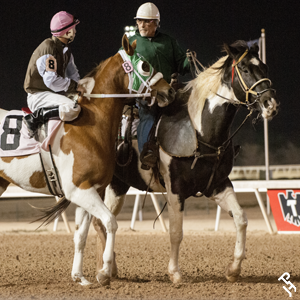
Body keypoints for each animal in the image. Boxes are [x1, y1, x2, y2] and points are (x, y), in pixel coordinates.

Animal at [0, 34, 176, 284]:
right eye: (144, 65)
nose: (169, 92)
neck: (91, 125)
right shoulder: (80, 190)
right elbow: (110, 222)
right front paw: (104, 272)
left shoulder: (91, 189)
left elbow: (81, 235)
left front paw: (79, 277)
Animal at [71, 39, 278, 284]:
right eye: (245, 69)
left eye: (264, 67)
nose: (270, 103)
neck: (200, 133)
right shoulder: (175, 190)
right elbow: (176, 232)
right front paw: (175, 273)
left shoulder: (218, 185)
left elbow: (241, 218)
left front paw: (234, 269)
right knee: (99, 221)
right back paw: (103, 270)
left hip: (118, 185)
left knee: (101, 220)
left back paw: (108, 269)